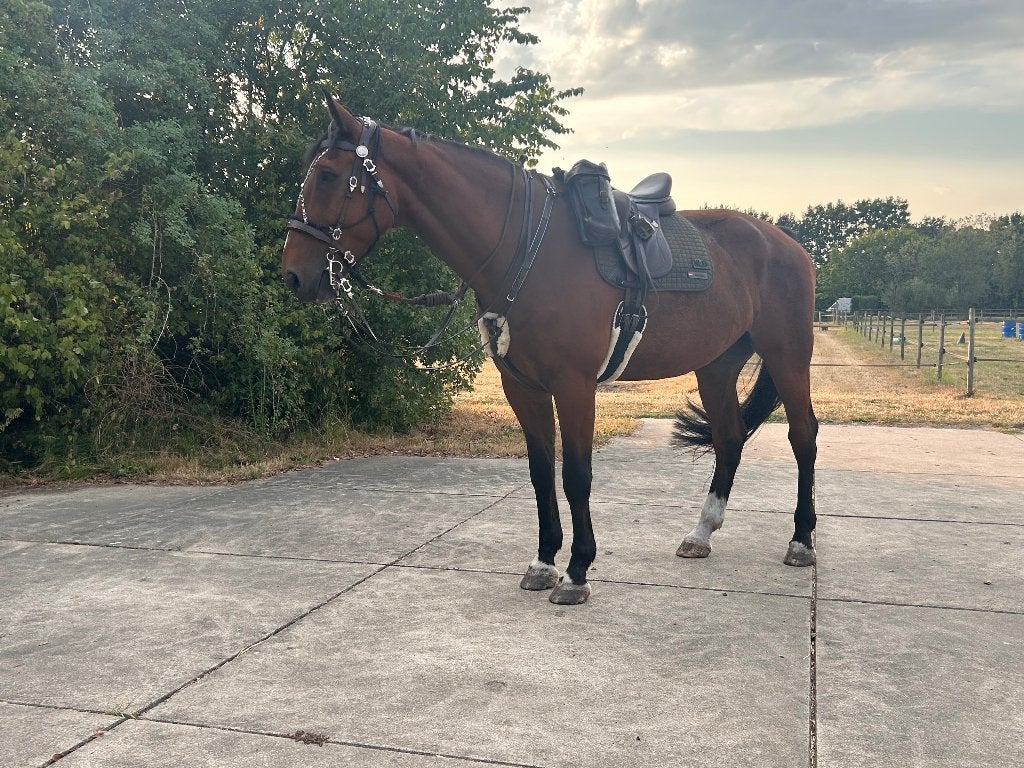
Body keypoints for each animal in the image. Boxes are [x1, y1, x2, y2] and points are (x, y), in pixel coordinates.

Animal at [281, 98, 819, 605]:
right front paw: (543, 563)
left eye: (328, 176)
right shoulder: (523, 387)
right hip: (716, 367)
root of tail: (788, 243)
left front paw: (577, 572)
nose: (293, 276)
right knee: (729, 438)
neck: (525, 250)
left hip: (788, 355)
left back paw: (801, 541)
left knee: (803, 436)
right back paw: (701, 532)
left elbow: (576, 474)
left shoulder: (574, 385)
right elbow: (541, 473)